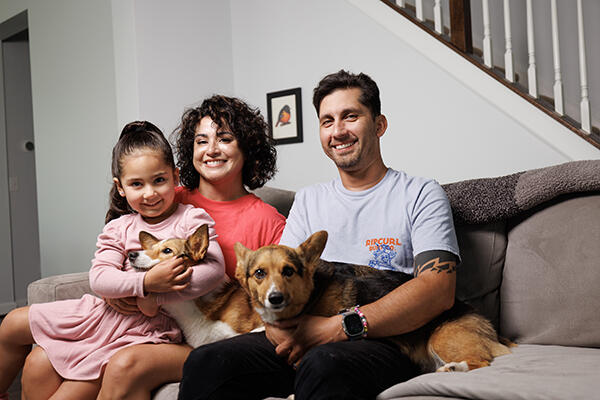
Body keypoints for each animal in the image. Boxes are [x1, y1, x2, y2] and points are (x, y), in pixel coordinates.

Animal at [233, 230, 510, 374]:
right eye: (259, 273)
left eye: (288, 271)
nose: (275, 298)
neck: (311, 294)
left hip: (441, 338)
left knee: (481, 362)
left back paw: (453, 368)